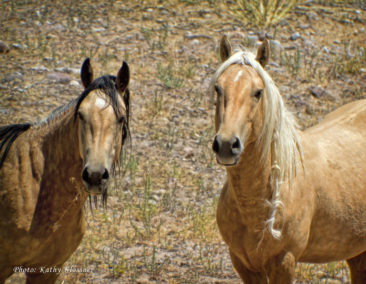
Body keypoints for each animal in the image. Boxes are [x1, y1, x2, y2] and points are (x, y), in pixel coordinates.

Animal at [210, 36, 366, 282]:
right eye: (218, 88)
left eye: (258, 92)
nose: (226, 145)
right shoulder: (243, 263)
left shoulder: (284, 262)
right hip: (356, 252)